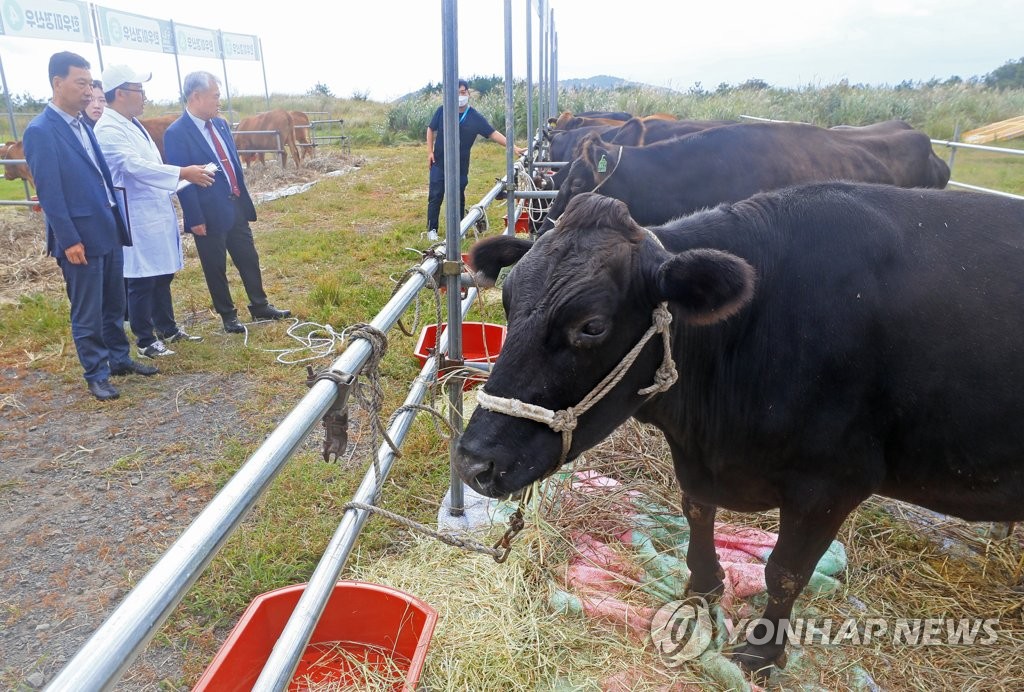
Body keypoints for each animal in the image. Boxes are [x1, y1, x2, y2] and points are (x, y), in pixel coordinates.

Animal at [460, 189, 1024, 679]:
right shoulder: (698, 463)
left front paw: (761, 653)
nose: (472, 461)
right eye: (507, 301)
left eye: (592, 326)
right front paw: (703, 587)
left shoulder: (833, 481)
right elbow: (696, 513)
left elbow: (785, 571)